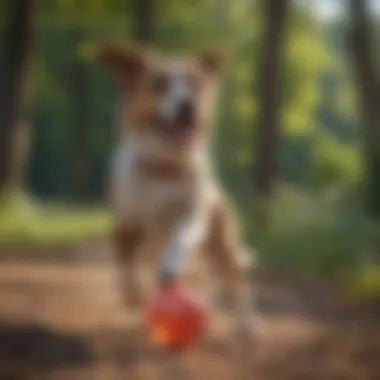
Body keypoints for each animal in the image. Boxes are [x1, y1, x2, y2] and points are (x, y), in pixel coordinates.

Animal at [98, 45, 258, 348]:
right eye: (159, 84)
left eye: (196, 84)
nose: (188, 105)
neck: (164, 169)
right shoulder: (126, 224)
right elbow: (124, 263)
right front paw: (132, 296)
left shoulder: (192, 215)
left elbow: (179, 240)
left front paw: (169, 269)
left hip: (221, 245)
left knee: (236, 281)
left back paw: (247, 325)